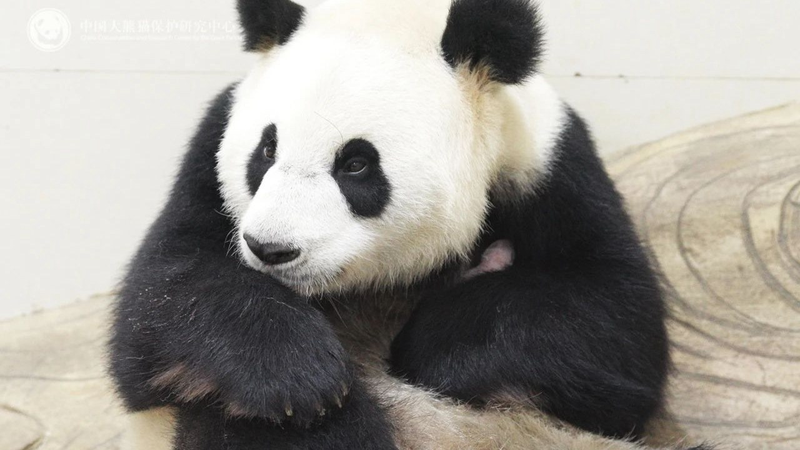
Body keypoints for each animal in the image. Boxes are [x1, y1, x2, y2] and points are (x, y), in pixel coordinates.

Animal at [109, 0, 706, 449]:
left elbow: (614, 322)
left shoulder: (550, 165)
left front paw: (432, 342)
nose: (270, 248)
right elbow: (164, 295)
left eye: (355, 163)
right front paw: (293, 376)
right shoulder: (210, 149)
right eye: (266, 149)